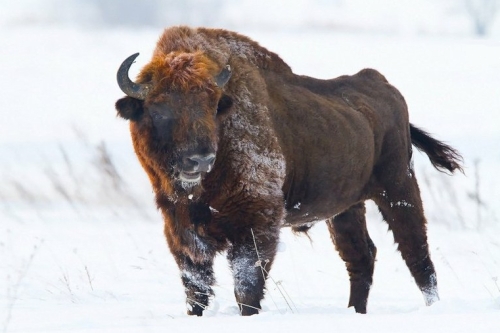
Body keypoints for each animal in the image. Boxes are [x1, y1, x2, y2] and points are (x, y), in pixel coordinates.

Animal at [115, 25, 462, 314]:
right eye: (159, 109)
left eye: (213, 106)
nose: (199, 159)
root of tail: (382, 84)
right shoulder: (182, 230)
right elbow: (196, 289)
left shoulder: (256, 225)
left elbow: (247, 289)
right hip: (346, 208)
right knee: (361, 256)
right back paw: (355, 312)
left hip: (398, 187)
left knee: (417, 254)